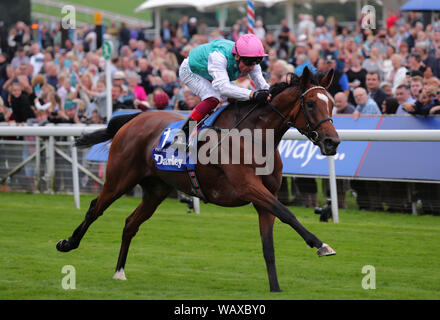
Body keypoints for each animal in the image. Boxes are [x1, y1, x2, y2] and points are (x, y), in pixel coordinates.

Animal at [55, 67, 340, 292]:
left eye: (332, 104)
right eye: (311, 104)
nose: (332, 142)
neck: (255, 136)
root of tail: (136, 118)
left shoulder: (265, 196)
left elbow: (268, 243)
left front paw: (276, 288)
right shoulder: (248, 187)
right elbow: (288, 214)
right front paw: (321, 245)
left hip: (156, 190)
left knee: (130, 223)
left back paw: (119, 271)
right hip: (119, 179)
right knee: (95, 208)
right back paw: (68, 243)